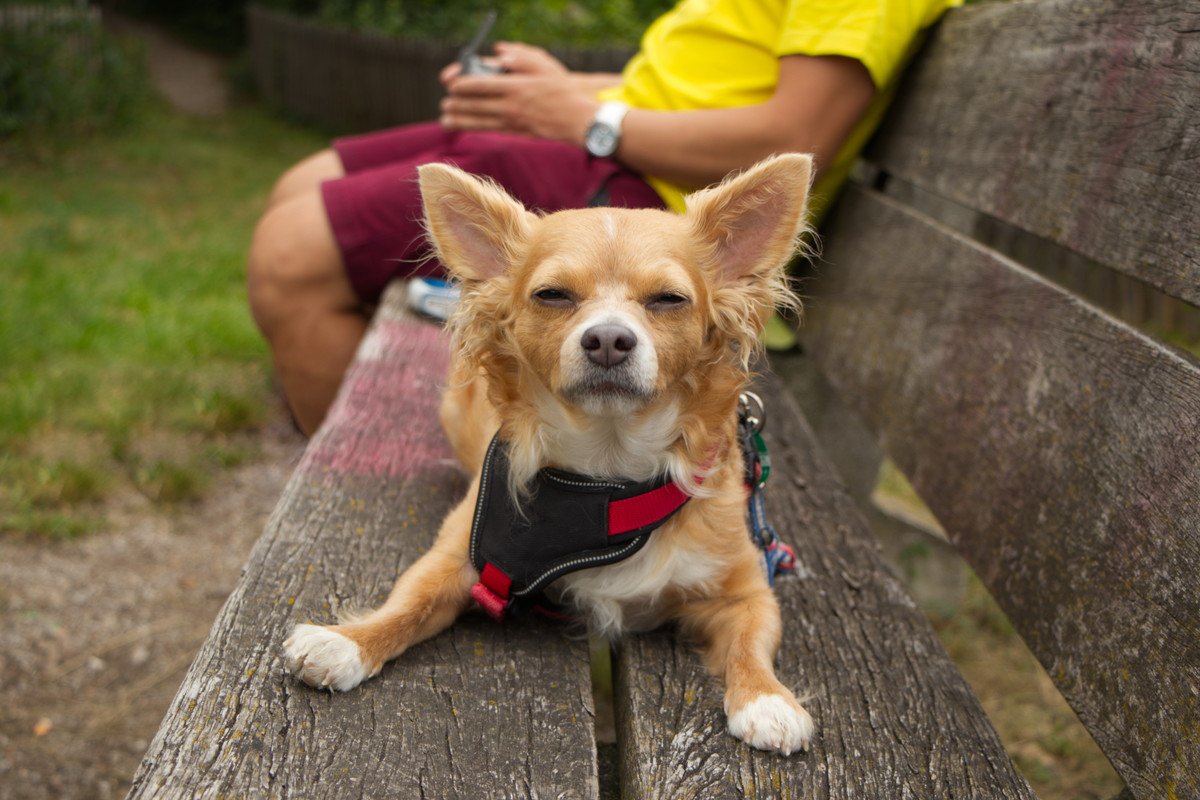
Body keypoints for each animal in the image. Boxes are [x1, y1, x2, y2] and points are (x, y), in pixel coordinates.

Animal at [285, 151, 820, 758]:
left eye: (668, 300)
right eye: (553, 295)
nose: (608, 339)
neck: (607, 478)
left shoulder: (747, 590)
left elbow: (752, 640)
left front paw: (767, 699)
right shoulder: (459, 556)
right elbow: (407, 604)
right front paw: (346, 641)